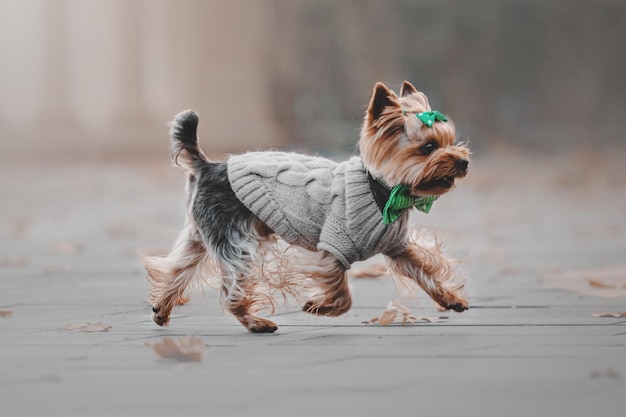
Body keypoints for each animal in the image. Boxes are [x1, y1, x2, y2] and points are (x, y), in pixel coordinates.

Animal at [144, 81, 468, 334]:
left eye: (451, 142)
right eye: (428, 148)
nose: (464, 161)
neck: (384, 191)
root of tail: (207, 166)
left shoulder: (397, 248)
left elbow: (424, 270)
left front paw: (451, 299)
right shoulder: (332, 247)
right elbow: (343, 294)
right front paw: (318, 307)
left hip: (201, 234)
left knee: (177, 269)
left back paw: (162, 309)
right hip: (237, 241)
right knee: (230, 292)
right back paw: (256, 323)